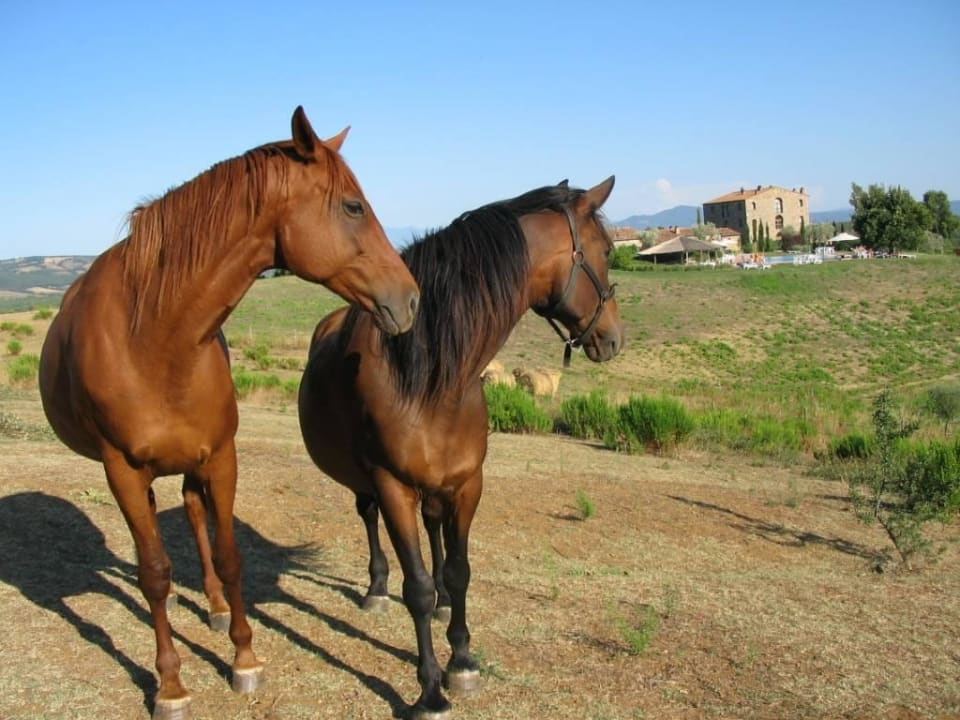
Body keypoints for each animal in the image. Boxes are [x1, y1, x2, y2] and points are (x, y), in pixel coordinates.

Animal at [38, 106, 420, 720]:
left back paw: (216, 609)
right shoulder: (121, 470)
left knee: (195, 515)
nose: (410, 300)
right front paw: (170, 685)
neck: (157, 337)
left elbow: (230, 555)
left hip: (193, 464)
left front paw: (244, 658)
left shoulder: (221, 457)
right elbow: (154, 573)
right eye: (353, 206)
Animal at [296, 177, 624, 718]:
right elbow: (418, 588)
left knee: (435, 534)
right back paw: (375, 589)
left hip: (439, 489)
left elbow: (458, 571)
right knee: (368, 518)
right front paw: (430, 688)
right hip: (369, 483)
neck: (428, 377)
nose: (614, 337)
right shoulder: (393, 487)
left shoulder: (468, 485)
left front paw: (464, 661)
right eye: (608, 252)